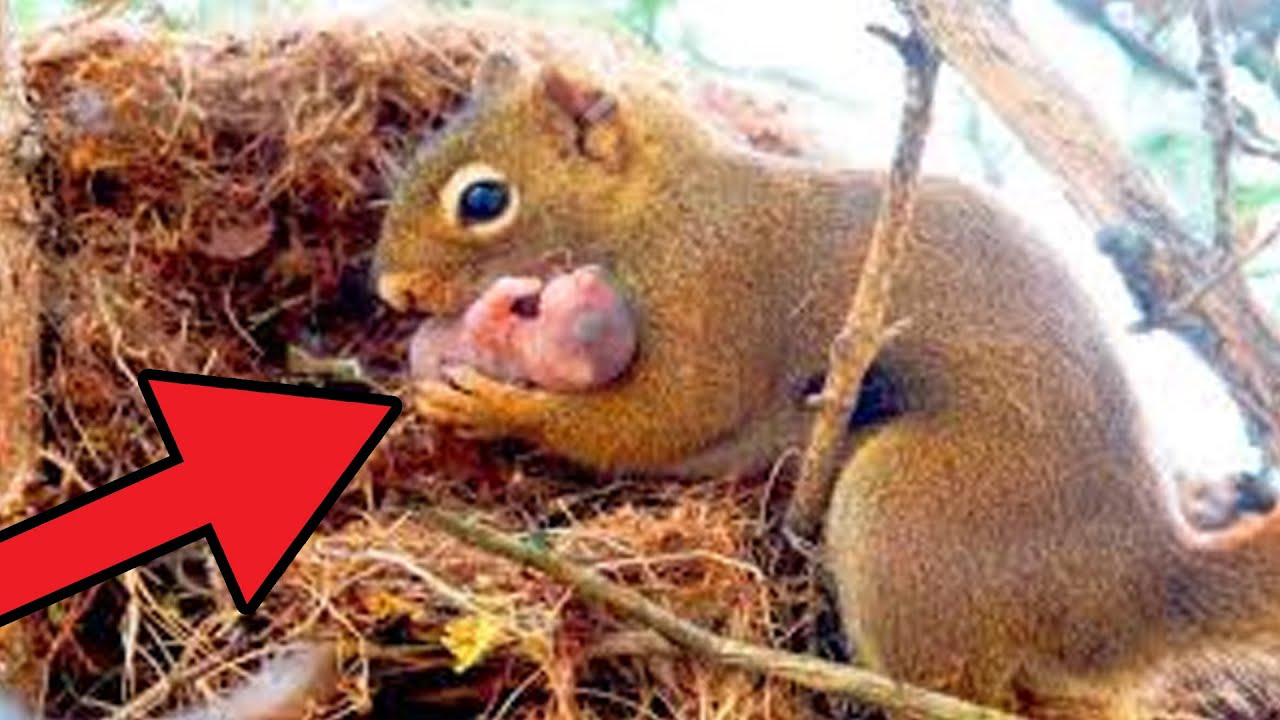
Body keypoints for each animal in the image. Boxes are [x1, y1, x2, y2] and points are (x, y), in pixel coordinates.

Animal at [373, 48, 1280, 718]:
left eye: (483, 199)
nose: (391, 292)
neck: (660, 209)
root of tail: (1138, 586)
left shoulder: (717, 298)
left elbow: (661, 420)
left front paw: (492, 403)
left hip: (907, 509)